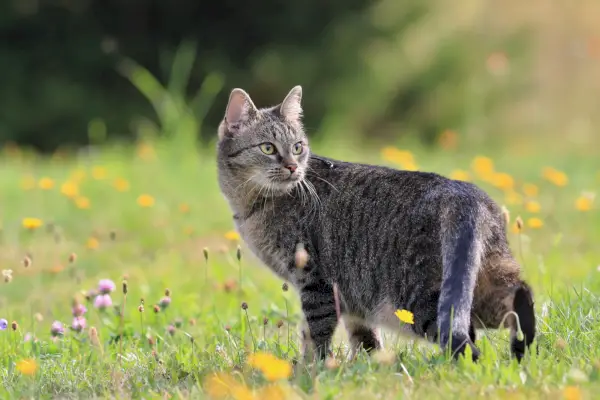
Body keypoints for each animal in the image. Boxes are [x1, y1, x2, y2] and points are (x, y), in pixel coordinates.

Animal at [216, 85, 536, 362]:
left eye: (297, 147)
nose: (293, 167)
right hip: (488, 278)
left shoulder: (316, 282)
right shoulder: (351, 296)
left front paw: (310, 370)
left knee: (467, 340)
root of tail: (465, 193)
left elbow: (315, 334)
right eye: (268, 148)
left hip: (418, 299)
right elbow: (364, 338)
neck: (253, 203)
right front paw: (368, 364)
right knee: (520, 298)